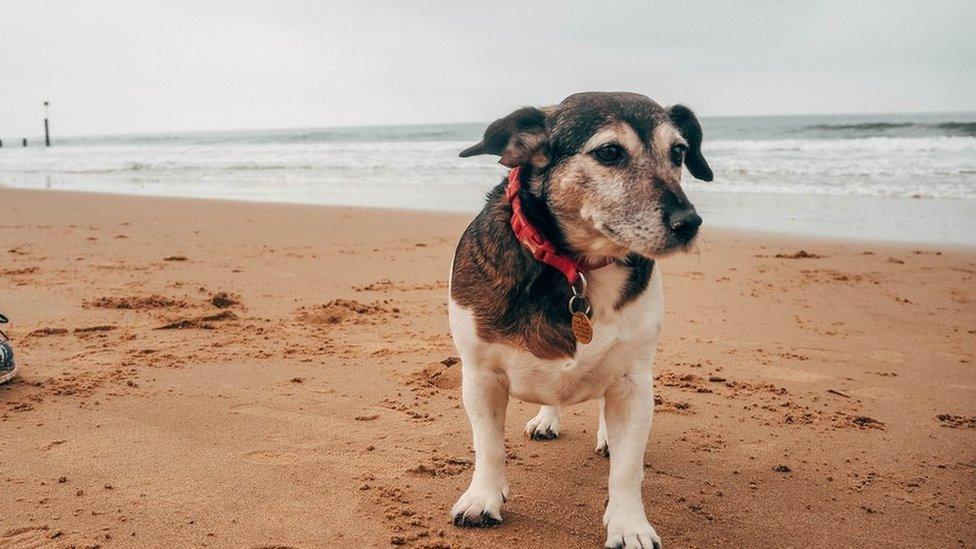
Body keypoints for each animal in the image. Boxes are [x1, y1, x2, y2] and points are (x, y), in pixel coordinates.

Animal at [446, 92, 712, 544]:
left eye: (677, 152)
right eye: (609, 152)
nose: (688, 223)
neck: (577, 268)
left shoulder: (633, 383)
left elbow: (627, 469)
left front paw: (629, 525)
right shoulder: (481, 376)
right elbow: (489, 446)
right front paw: (483, 498)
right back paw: (546, 419)